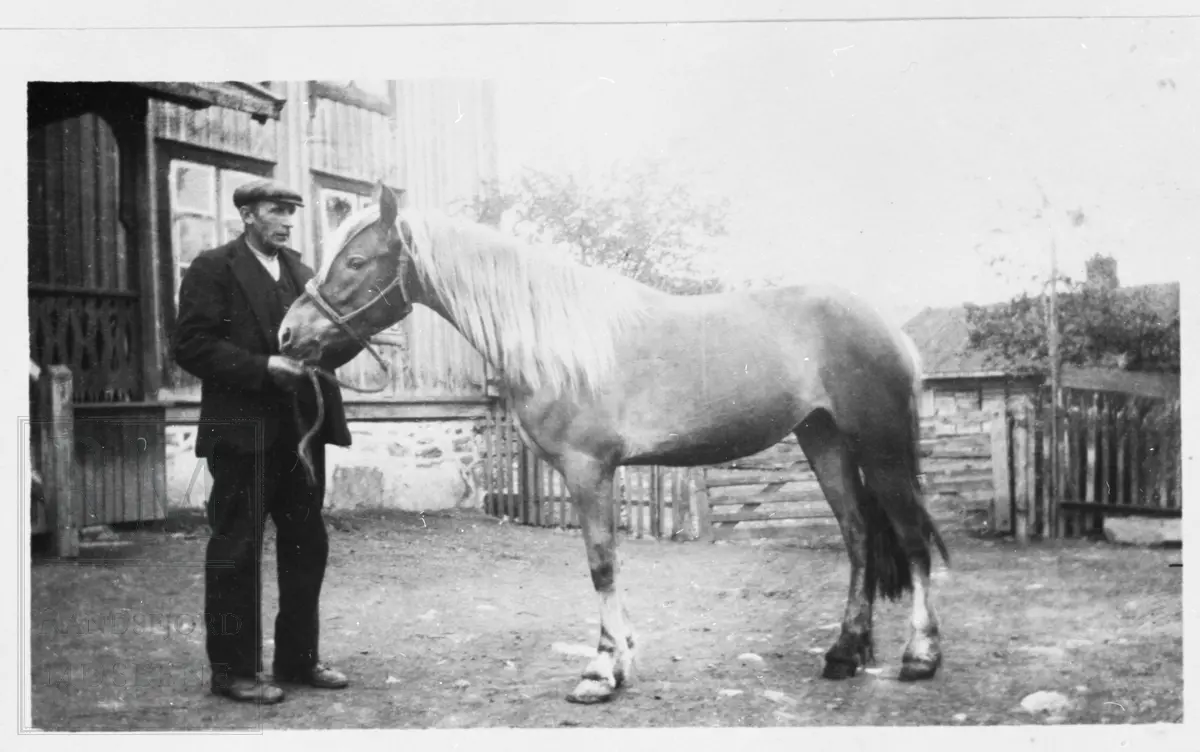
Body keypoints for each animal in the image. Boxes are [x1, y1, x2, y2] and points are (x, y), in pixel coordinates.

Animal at [278, 183, 945, 705]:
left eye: (356, 260)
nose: (288, 334)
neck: (558, 340)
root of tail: (889, 327)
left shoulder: (588, 470)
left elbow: (601, 564)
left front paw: (600, 671)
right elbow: (609, 564)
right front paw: (619, 660)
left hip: (880, 447)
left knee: (910, 540)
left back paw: (919, 656)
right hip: (823, 440)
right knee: (858, 537)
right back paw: (844, 653)